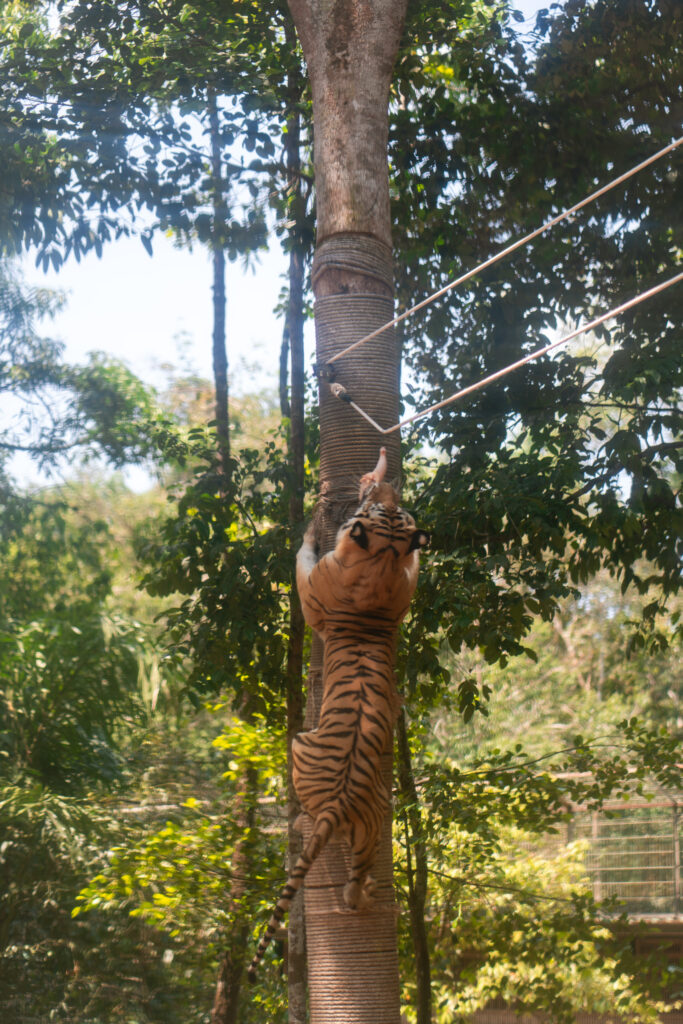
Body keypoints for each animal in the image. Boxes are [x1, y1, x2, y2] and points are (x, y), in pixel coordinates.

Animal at [245, 452, 428, 978]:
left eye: (367, 507)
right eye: (389, 508)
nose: (385, 488)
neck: (381, 560)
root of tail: (339, 802)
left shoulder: (312, 588)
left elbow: (302, 558)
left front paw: (308, 527)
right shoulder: (403, 587)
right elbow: (417, 568)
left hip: (298, 744)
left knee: (309, 828)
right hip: (375, 825)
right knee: (353, 874)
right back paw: (363, 895)